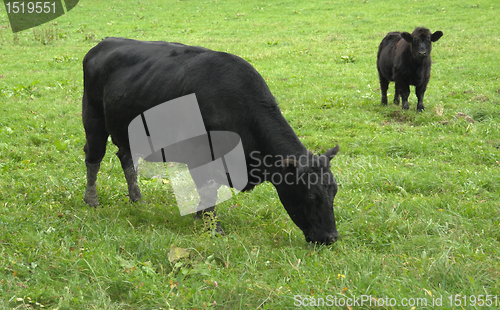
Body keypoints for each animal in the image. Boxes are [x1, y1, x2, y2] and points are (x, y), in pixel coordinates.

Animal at [82, 37, 340, 245]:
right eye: (311, 196)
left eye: (334, 191)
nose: (331, 238)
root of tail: (105, 42)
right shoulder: (201, 157)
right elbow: (208, 191)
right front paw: (213, 227)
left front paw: (201, 217)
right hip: (93, 120)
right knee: (93, 158)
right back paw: (91, 201)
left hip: (126, 130)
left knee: (125, 158)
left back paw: (137, 199)